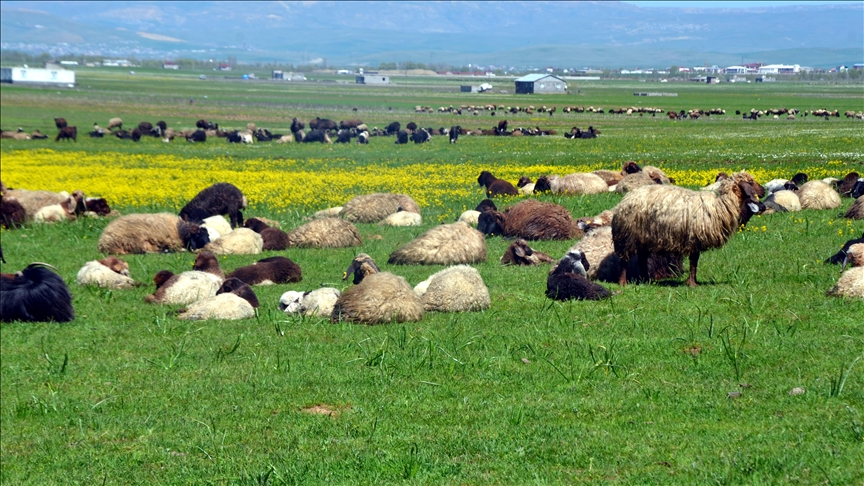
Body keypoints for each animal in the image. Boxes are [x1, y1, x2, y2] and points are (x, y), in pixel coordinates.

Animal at [612, 171, 768, 286]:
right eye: (751, 182)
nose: (764, 191)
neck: (721, 206)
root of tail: (625, 200)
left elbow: (695, 262)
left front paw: (693, 281)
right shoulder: (694, 239)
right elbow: (694, 262)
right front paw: (692, 284)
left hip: (643, 237)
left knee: (642, 258)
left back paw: (645, 280)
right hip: (627, 236)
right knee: (624, 260)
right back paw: (623, 282)